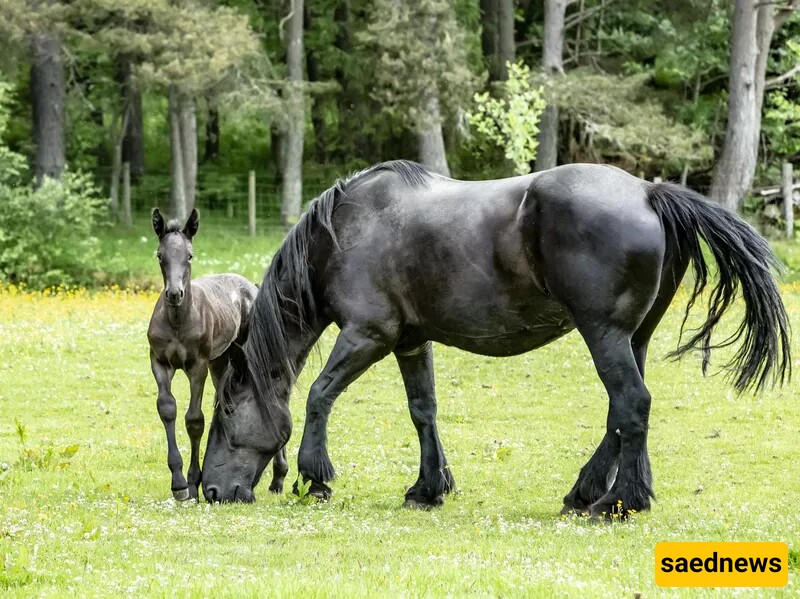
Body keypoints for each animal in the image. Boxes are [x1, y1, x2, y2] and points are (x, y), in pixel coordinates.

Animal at [148, 209, 290, 500]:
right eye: (159, 255)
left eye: (189, 255)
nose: (175, 294)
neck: (177, 321)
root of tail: (251, 285)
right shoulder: (159, 362)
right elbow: (167, 410)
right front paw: (178, 482)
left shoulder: (197, 365)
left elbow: (194, 420)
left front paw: (192, 483)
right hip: (221, 361)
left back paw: (279, 477)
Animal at [200, 161, 788, 516]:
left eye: (226, 410)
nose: (210, 490)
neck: (346, 233)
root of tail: (647, 191)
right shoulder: (410, 342)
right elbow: (423, 410)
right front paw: (427, 489)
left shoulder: (368, 335)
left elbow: (320, 396)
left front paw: (316, 477)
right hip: (631, 338)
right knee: (622, 414)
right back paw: (591, 493)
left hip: (604, 334)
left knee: (631, 404)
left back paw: (616, 504)